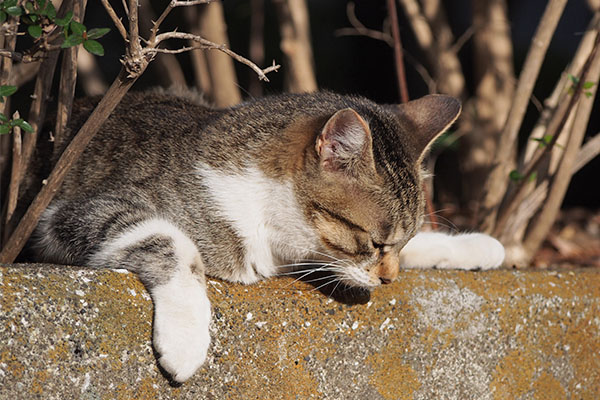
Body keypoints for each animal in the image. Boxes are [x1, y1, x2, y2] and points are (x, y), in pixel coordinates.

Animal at [25, 90, 506, 382]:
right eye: (374, 242)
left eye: (399, 244)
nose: (389, 279)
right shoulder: (64, 215)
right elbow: (174, 245)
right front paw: (185, 339)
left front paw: (475, 245)